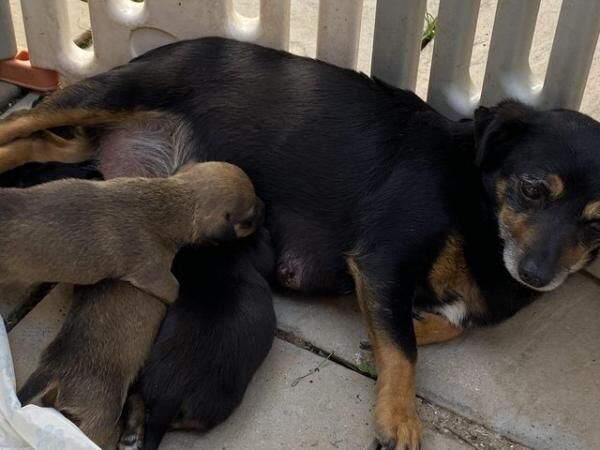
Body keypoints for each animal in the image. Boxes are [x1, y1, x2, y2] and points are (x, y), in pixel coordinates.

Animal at [120, 229, 278, 450]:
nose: (266, 230)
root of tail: (170, 396)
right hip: (218, 403)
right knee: (195, 421)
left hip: (143, 374)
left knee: (136, 397)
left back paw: (132, 434)